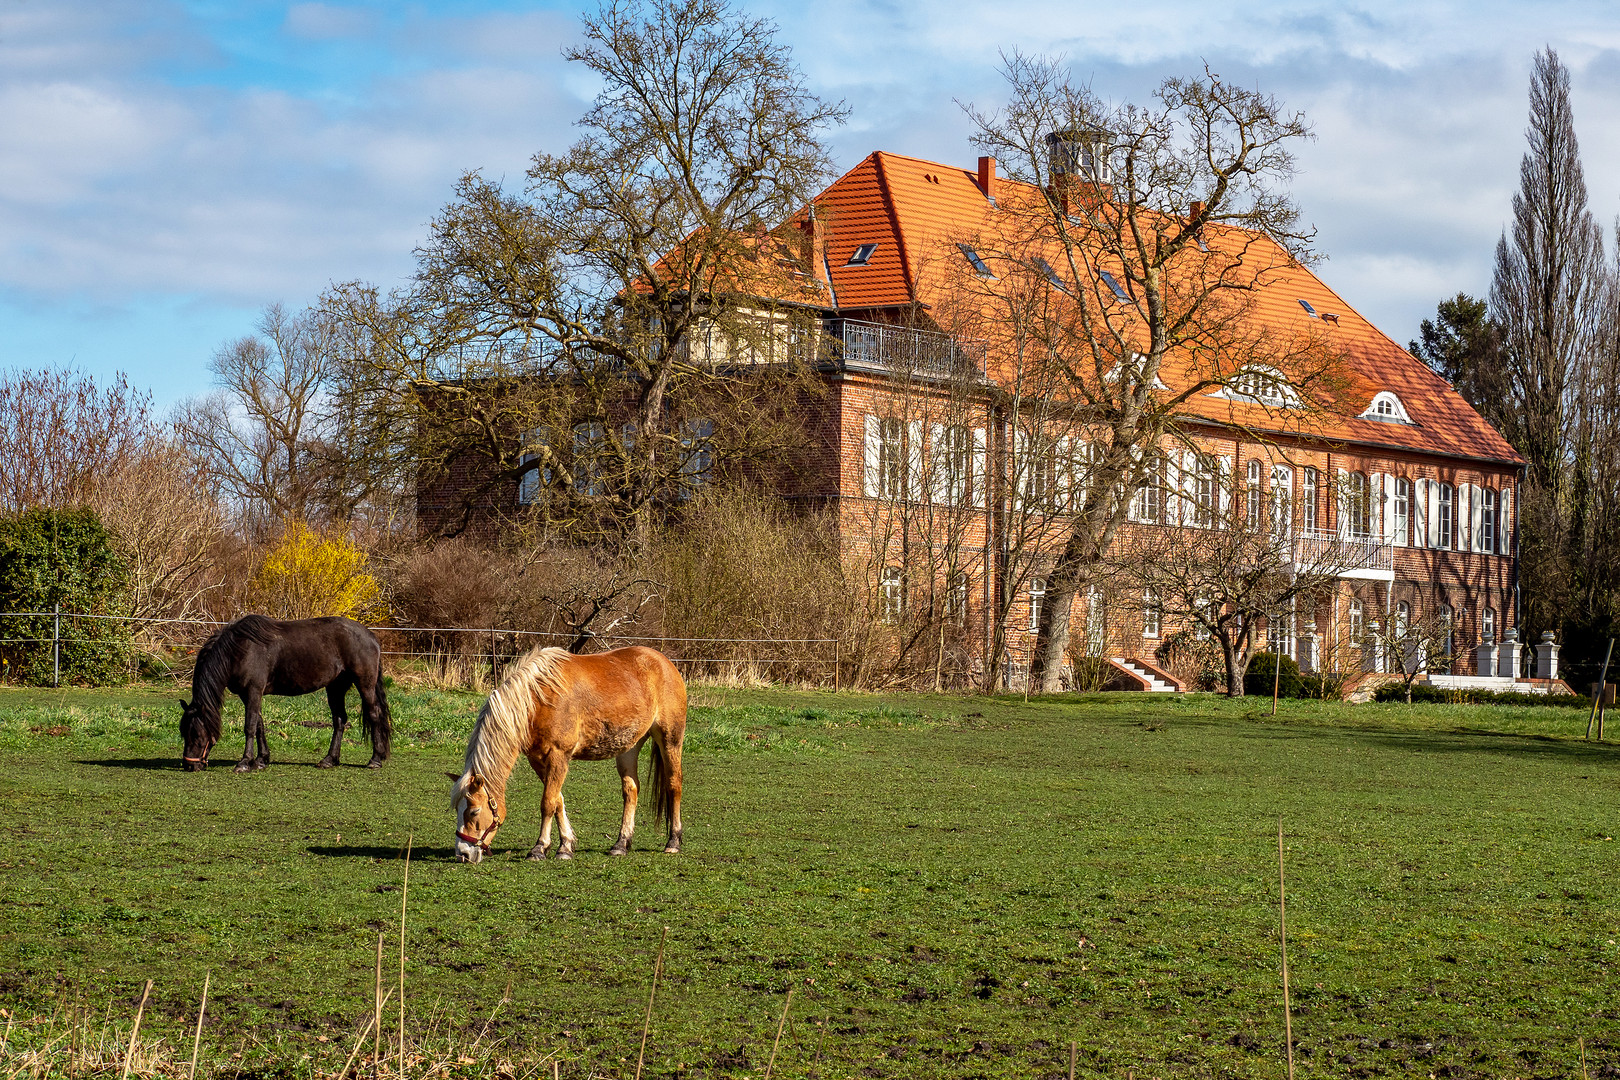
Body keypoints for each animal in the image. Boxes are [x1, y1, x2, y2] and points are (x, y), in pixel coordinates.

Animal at [179, 615, 393, 767]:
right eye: (183, 733)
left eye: (196, 734)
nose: (189, 765)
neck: (240, 650)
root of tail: (370, 636)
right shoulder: (248, 694)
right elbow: (259, 724)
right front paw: (261, 760)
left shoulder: (253, 691)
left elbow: (250, 726)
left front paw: (245, 762)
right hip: (336, 687)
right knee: (339, 720)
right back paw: (329, 760)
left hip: (364, 684)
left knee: (374, 714)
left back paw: (375, 759)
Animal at [450, 647, 690, 867]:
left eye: (473, 812)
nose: (462, 854)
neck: (537, 700)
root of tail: (664, 662)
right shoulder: (538, 760)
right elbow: (558, 800)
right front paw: (565, 845)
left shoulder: (559, 756)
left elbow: (547, 802)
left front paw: (539, 848)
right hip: (628, 747)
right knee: (631, 790)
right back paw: (621, 844)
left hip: (670, 739)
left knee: (674, 784)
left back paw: (673, 841)